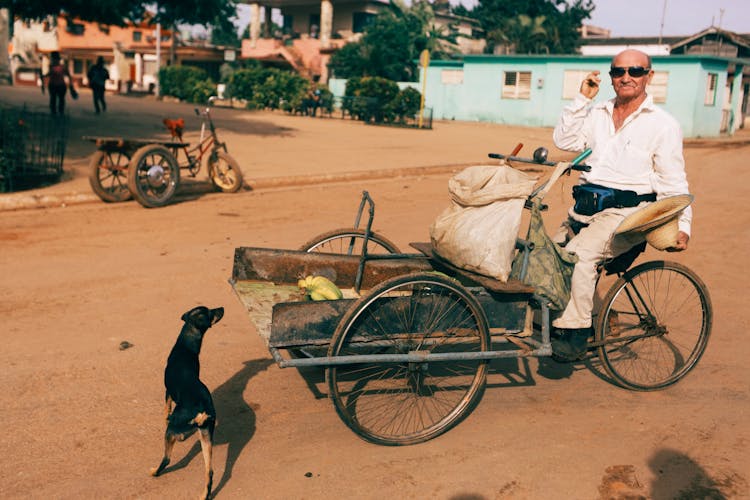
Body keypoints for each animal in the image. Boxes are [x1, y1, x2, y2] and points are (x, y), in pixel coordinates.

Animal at [151, 304, 223, 500]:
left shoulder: (167, 392)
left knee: (167, 459)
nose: (222, 308)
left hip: (172, 431)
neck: (186, 346)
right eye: (211, 311)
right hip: (205, 435)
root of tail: (202, 409)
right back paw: (204, 495)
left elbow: (166, 409)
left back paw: (154, 472)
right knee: (210, 472)